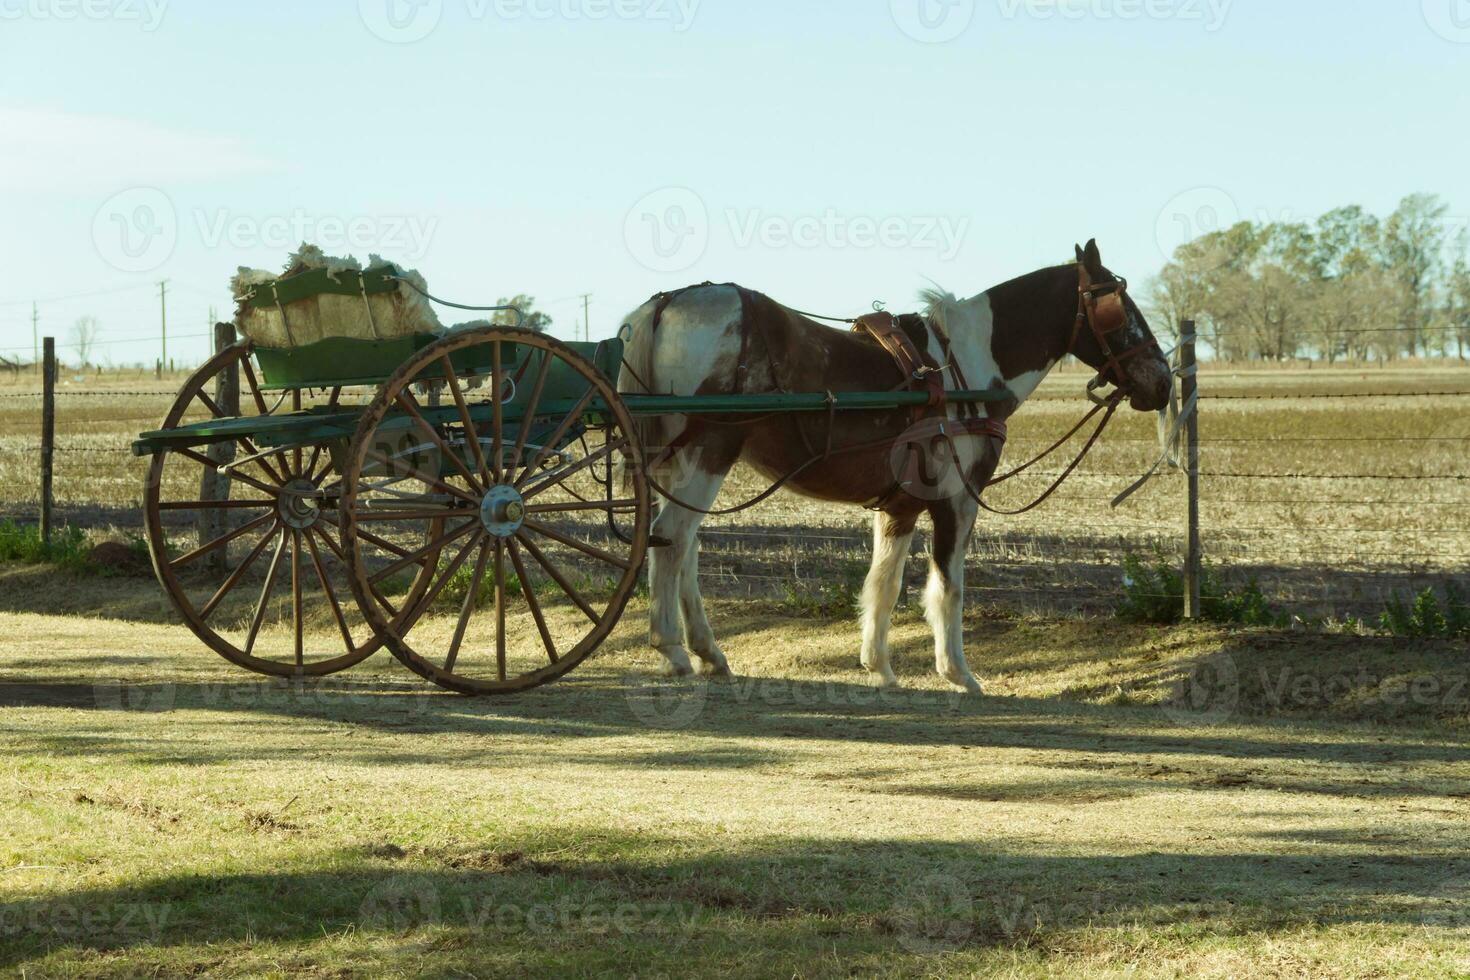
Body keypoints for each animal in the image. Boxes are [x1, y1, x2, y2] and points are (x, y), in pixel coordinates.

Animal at [617, 240, 1170, 693]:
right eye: (1118, 306)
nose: (1163, 381)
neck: (964, 368)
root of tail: (668, 303)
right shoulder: (958, 501)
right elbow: (948, 586)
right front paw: (958, 672)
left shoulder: (899, 508)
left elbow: (884, 584)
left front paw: (879, 667)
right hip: (710, 452)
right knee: (673, 539)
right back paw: (672, 650)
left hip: (679, 466)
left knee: (681, 546)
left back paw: (707, 653)